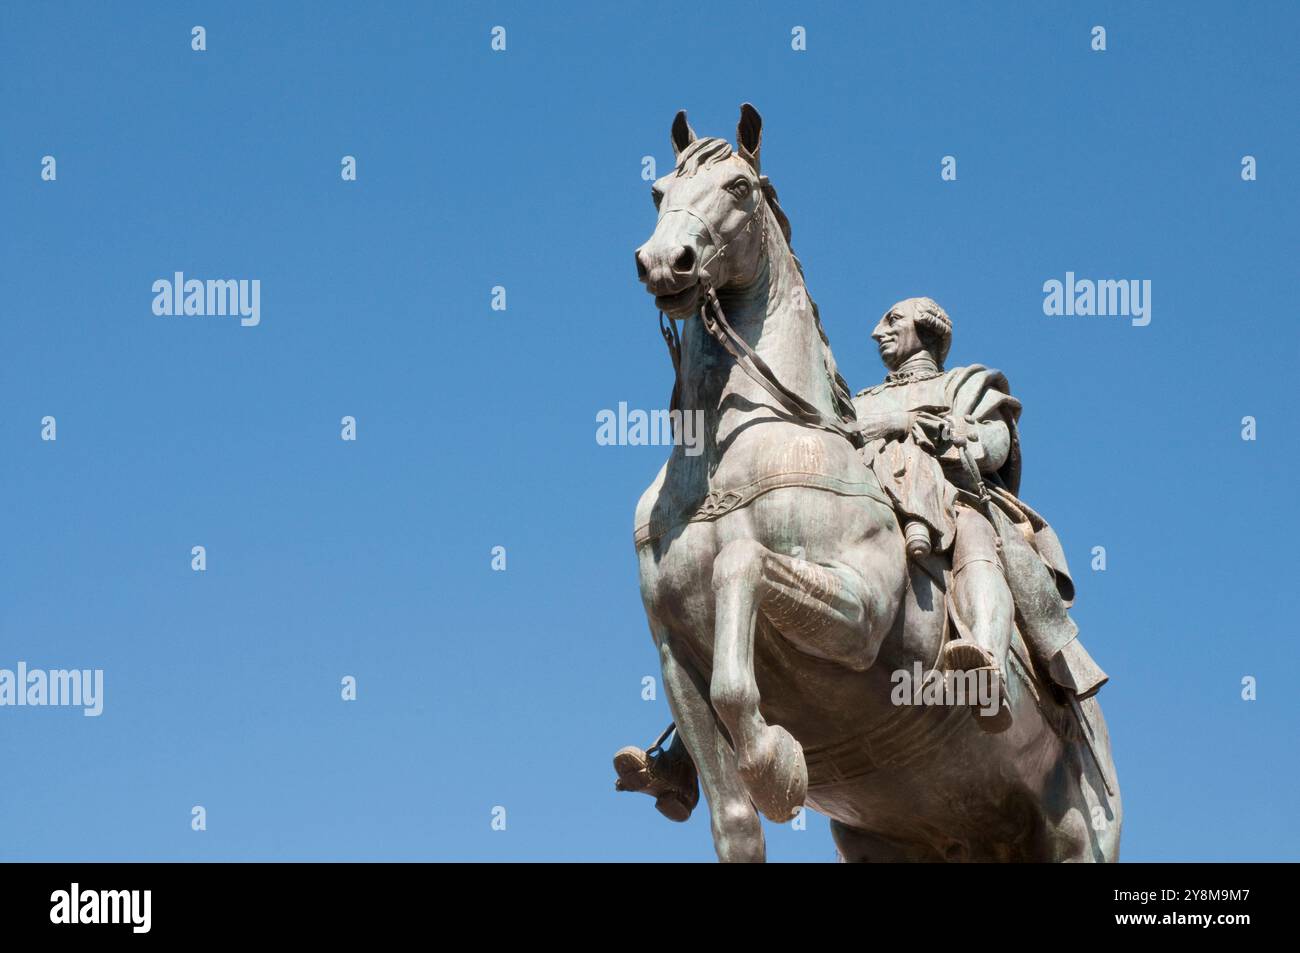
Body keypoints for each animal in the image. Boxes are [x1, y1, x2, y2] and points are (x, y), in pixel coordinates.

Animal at [626, 104, 1118, 863]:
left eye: (738, 186)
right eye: (656, 191)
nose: (663, 262)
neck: (731, 457)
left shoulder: (861, 612)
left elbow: (742, 569)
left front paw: (776, 764)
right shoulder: (676, 654)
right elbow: (736, 819)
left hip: (1076, 834)